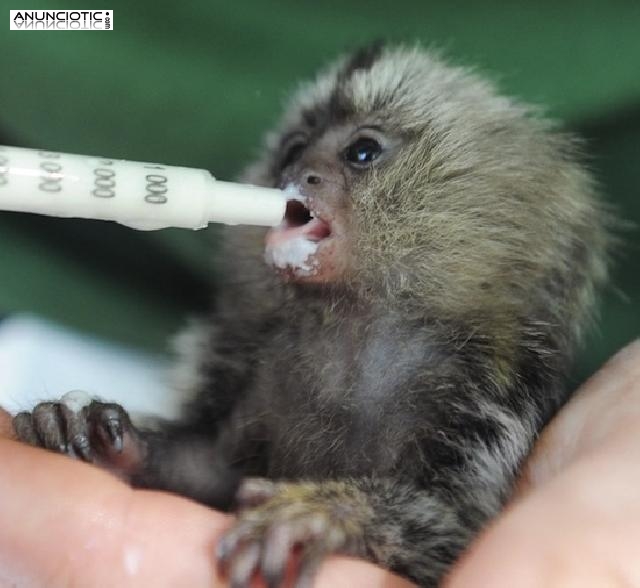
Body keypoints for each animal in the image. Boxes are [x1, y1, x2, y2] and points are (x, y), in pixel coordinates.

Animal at [12, 44, 609, 587]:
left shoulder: (488, 405)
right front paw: (95, 435)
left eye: (362, 152)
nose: (297, 176)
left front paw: (328, 514)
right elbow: (213, 470)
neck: (356, 328)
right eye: (293, 152)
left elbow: (455, 531)